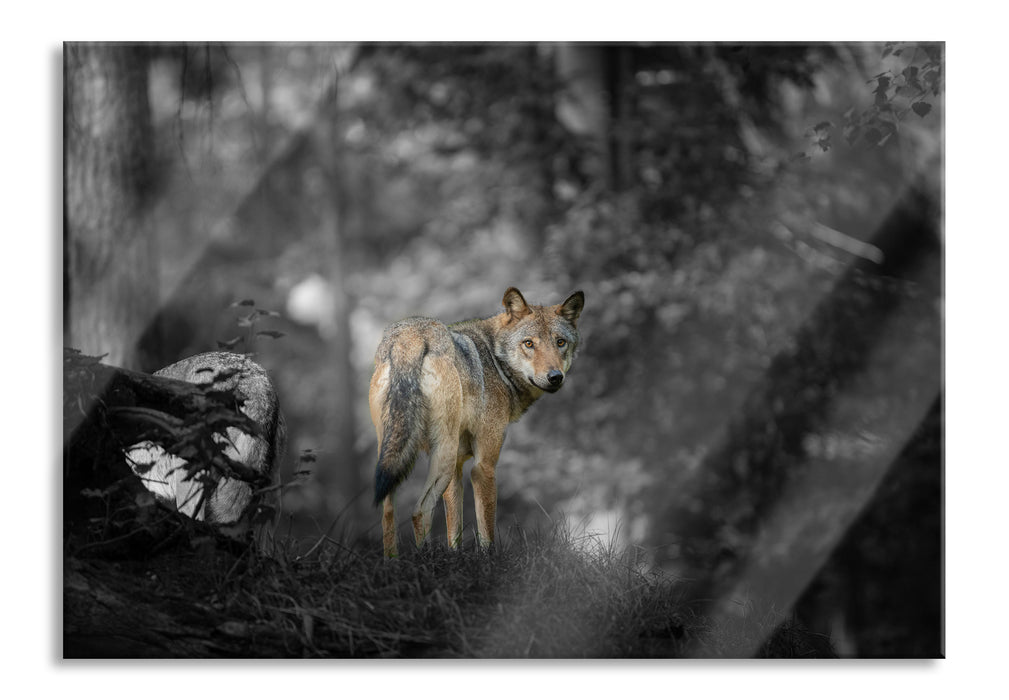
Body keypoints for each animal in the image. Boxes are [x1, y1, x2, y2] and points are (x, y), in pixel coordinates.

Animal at [369, 286, 585, 557]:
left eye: (560, 342)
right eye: (529, 343)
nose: (555, 377)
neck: (495, 360)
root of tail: (410, 337)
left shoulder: (457, 469)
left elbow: (454, 531)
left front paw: (455, 558)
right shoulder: (483, 466)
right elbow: (486, 530)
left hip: (395, 457)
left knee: (387, 514)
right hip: (442, 456)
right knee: (419, 511)